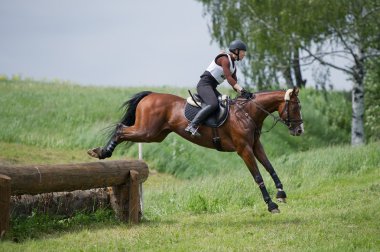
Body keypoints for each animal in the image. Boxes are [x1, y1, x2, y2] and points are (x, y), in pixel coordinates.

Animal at [87, 86, 304, 213]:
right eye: (296, 107)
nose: (299, 130)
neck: (247, 113)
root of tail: (150, 95)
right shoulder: (244, 150)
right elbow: (258, 176)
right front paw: (271, 204)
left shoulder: (255, 146)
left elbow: (270, 167)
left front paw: (281, 193)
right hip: (147, 131)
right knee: (120, 129)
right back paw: (102, 152)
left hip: (155, 135)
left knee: (123, 130)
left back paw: (101, 151)